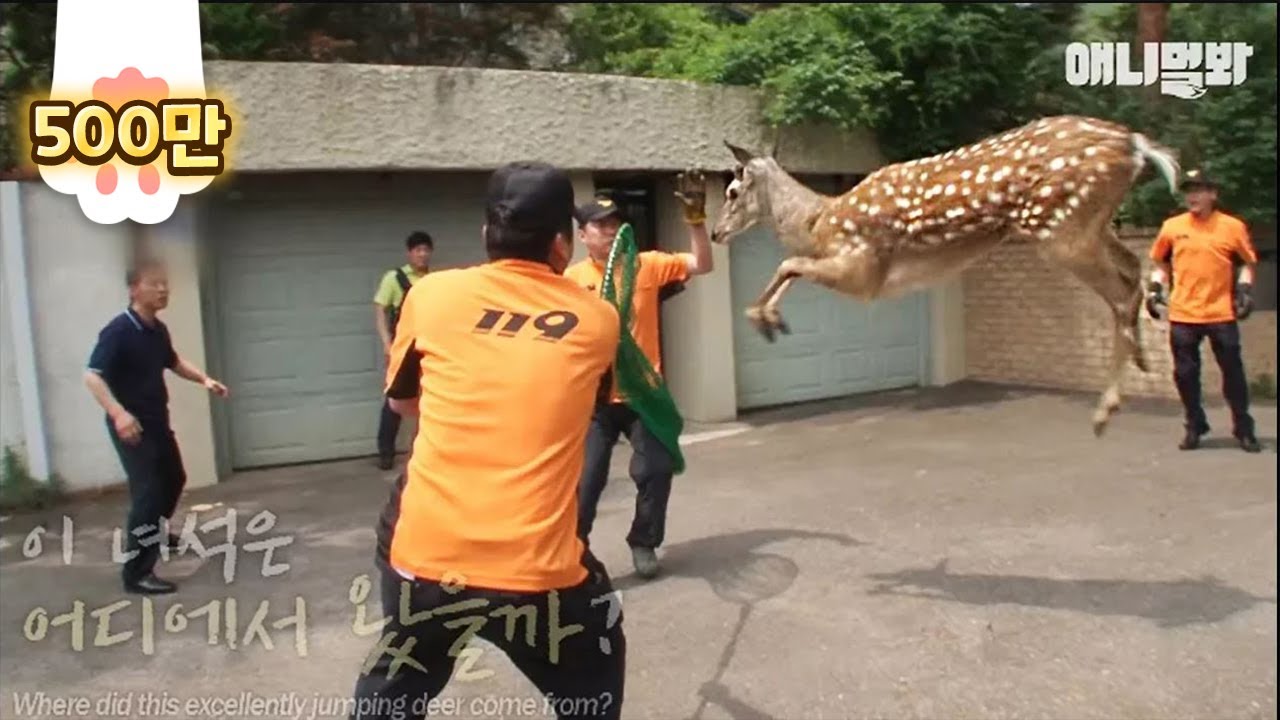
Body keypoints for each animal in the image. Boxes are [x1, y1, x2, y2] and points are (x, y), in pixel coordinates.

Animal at [708, 115, 1181, 437]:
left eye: (732, 191)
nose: (714, 232)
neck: (819, 221)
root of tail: (1135, 145)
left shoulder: (864, 271)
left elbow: (787, 264)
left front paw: (764, 319)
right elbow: (790, 266)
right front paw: (769, 319)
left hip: (1060, 227)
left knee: (1120, 291)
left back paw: (1106, 409)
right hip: (1091, 225)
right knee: (1134, 270)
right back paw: (1139, 361)